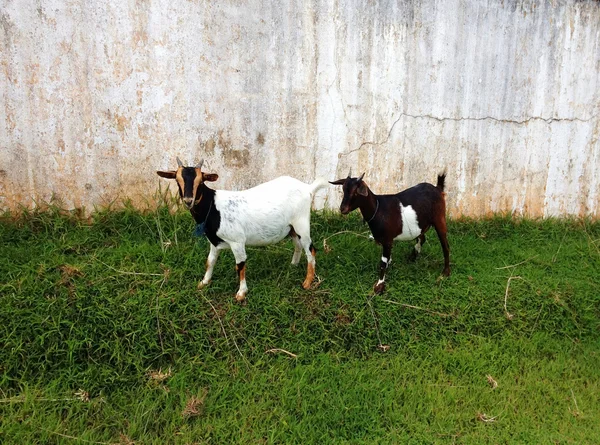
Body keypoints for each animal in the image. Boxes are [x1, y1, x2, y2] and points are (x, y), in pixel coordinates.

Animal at [157, 157, 328, 302]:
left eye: (201, 181)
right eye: (177, 179)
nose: (188, 201)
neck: (214, 208)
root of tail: (307, 188)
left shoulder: (237, 241)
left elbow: (241, 265)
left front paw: (241, 293)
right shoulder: (214, 241)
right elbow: (210, 261)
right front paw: (204, 282)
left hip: (302, 223)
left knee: (310, 249)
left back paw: (307, 282)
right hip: (291, 227)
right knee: (298, 245)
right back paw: (293, 265)